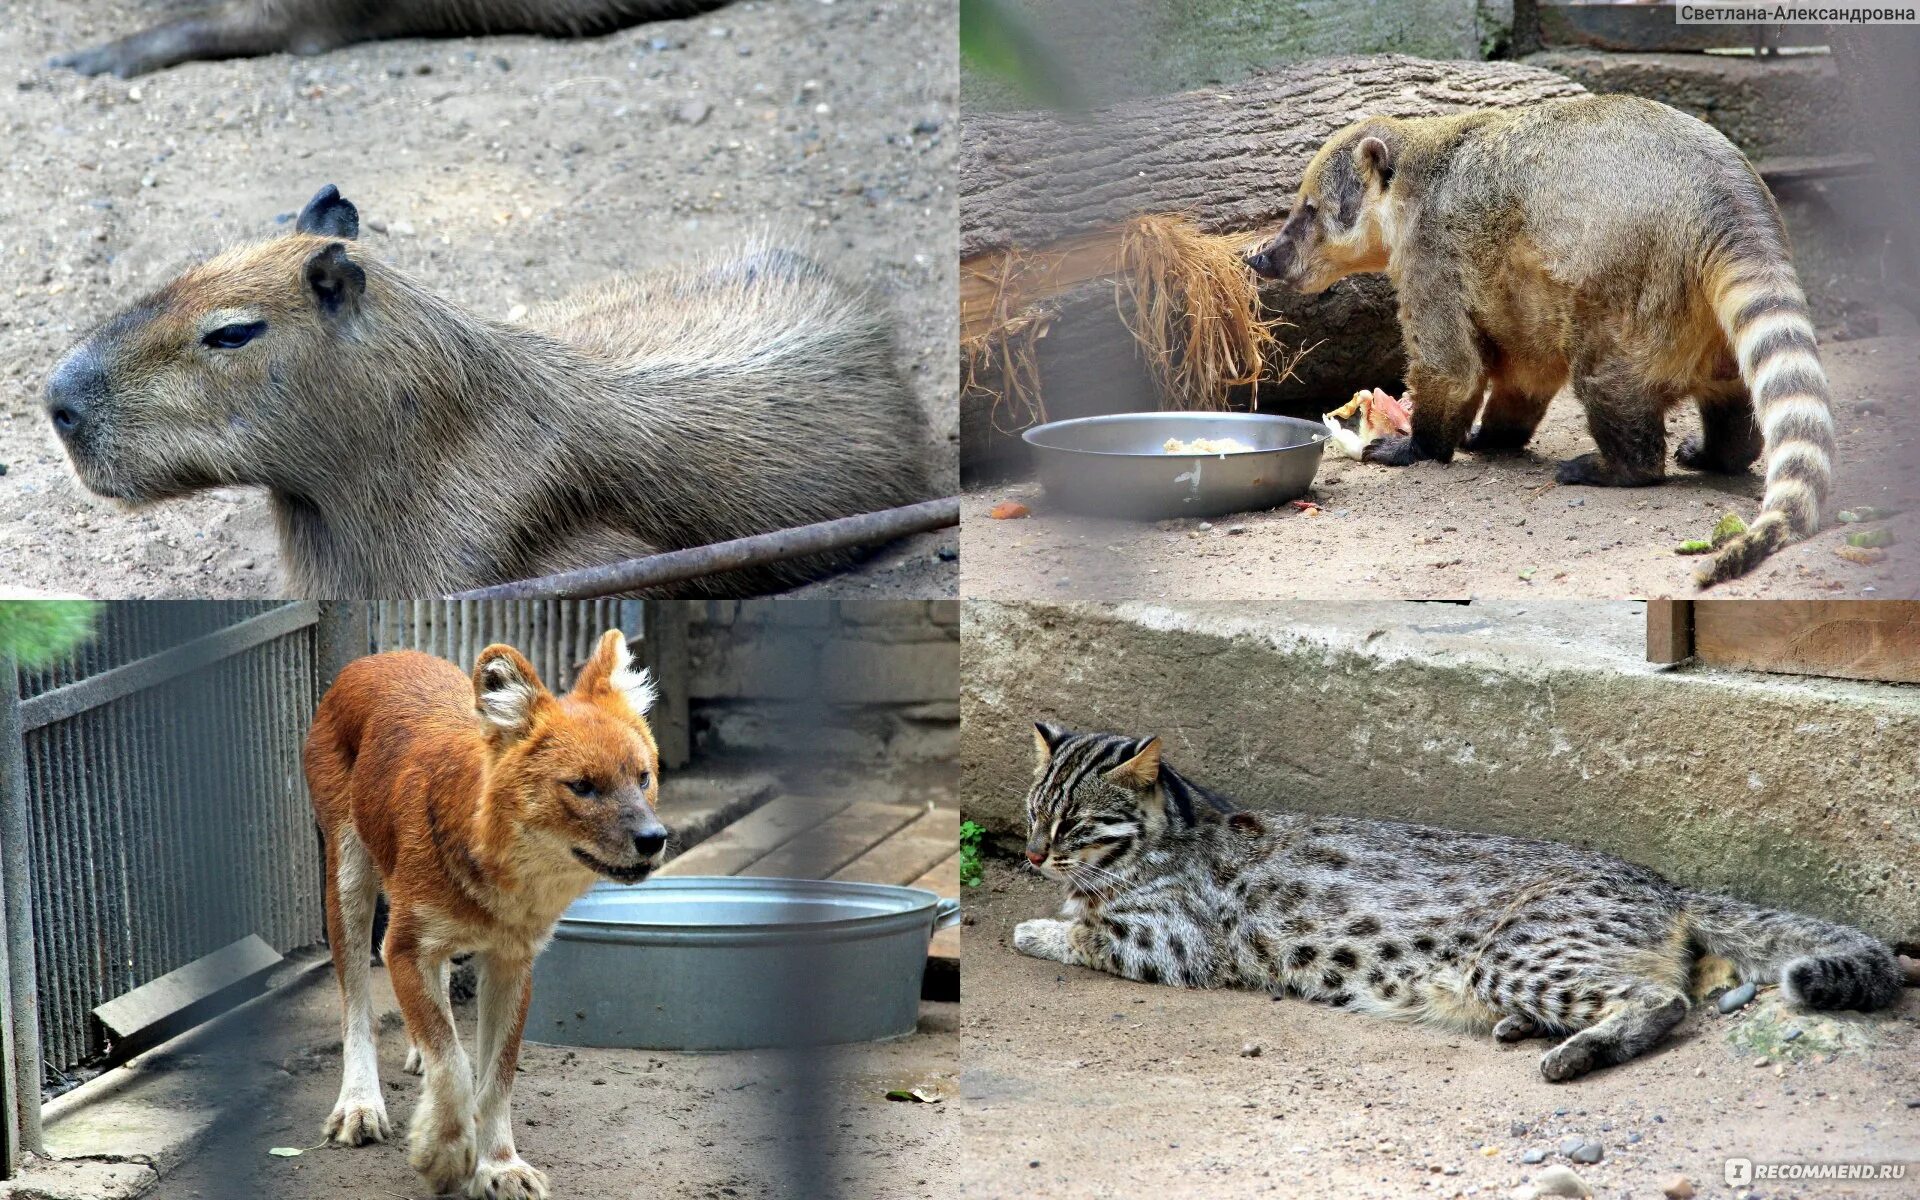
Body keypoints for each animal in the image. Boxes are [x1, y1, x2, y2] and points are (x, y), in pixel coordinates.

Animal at [1013, 725, 1896, 1082]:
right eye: (1031, 812)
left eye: (1074, 824)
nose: (1029, 856)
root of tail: (1661, 881)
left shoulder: (1174, 942)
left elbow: (1085, 935)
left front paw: (1035, 926)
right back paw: (1524, 1029)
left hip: (1514, 953)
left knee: (1663, 998)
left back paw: (1574, 1051)